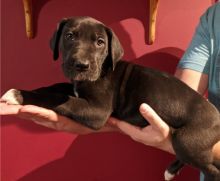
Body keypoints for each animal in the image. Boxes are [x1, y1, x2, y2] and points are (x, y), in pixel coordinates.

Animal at [0, 16, 219, 180]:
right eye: (69, 36)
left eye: (100, 42)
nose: (81, 65)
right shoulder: (74, 86)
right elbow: (55, 88)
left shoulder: (97, 110)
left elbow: (61, 99)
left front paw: (18, 95)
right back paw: (171, 171)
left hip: (187, 140)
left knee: (212, 169)